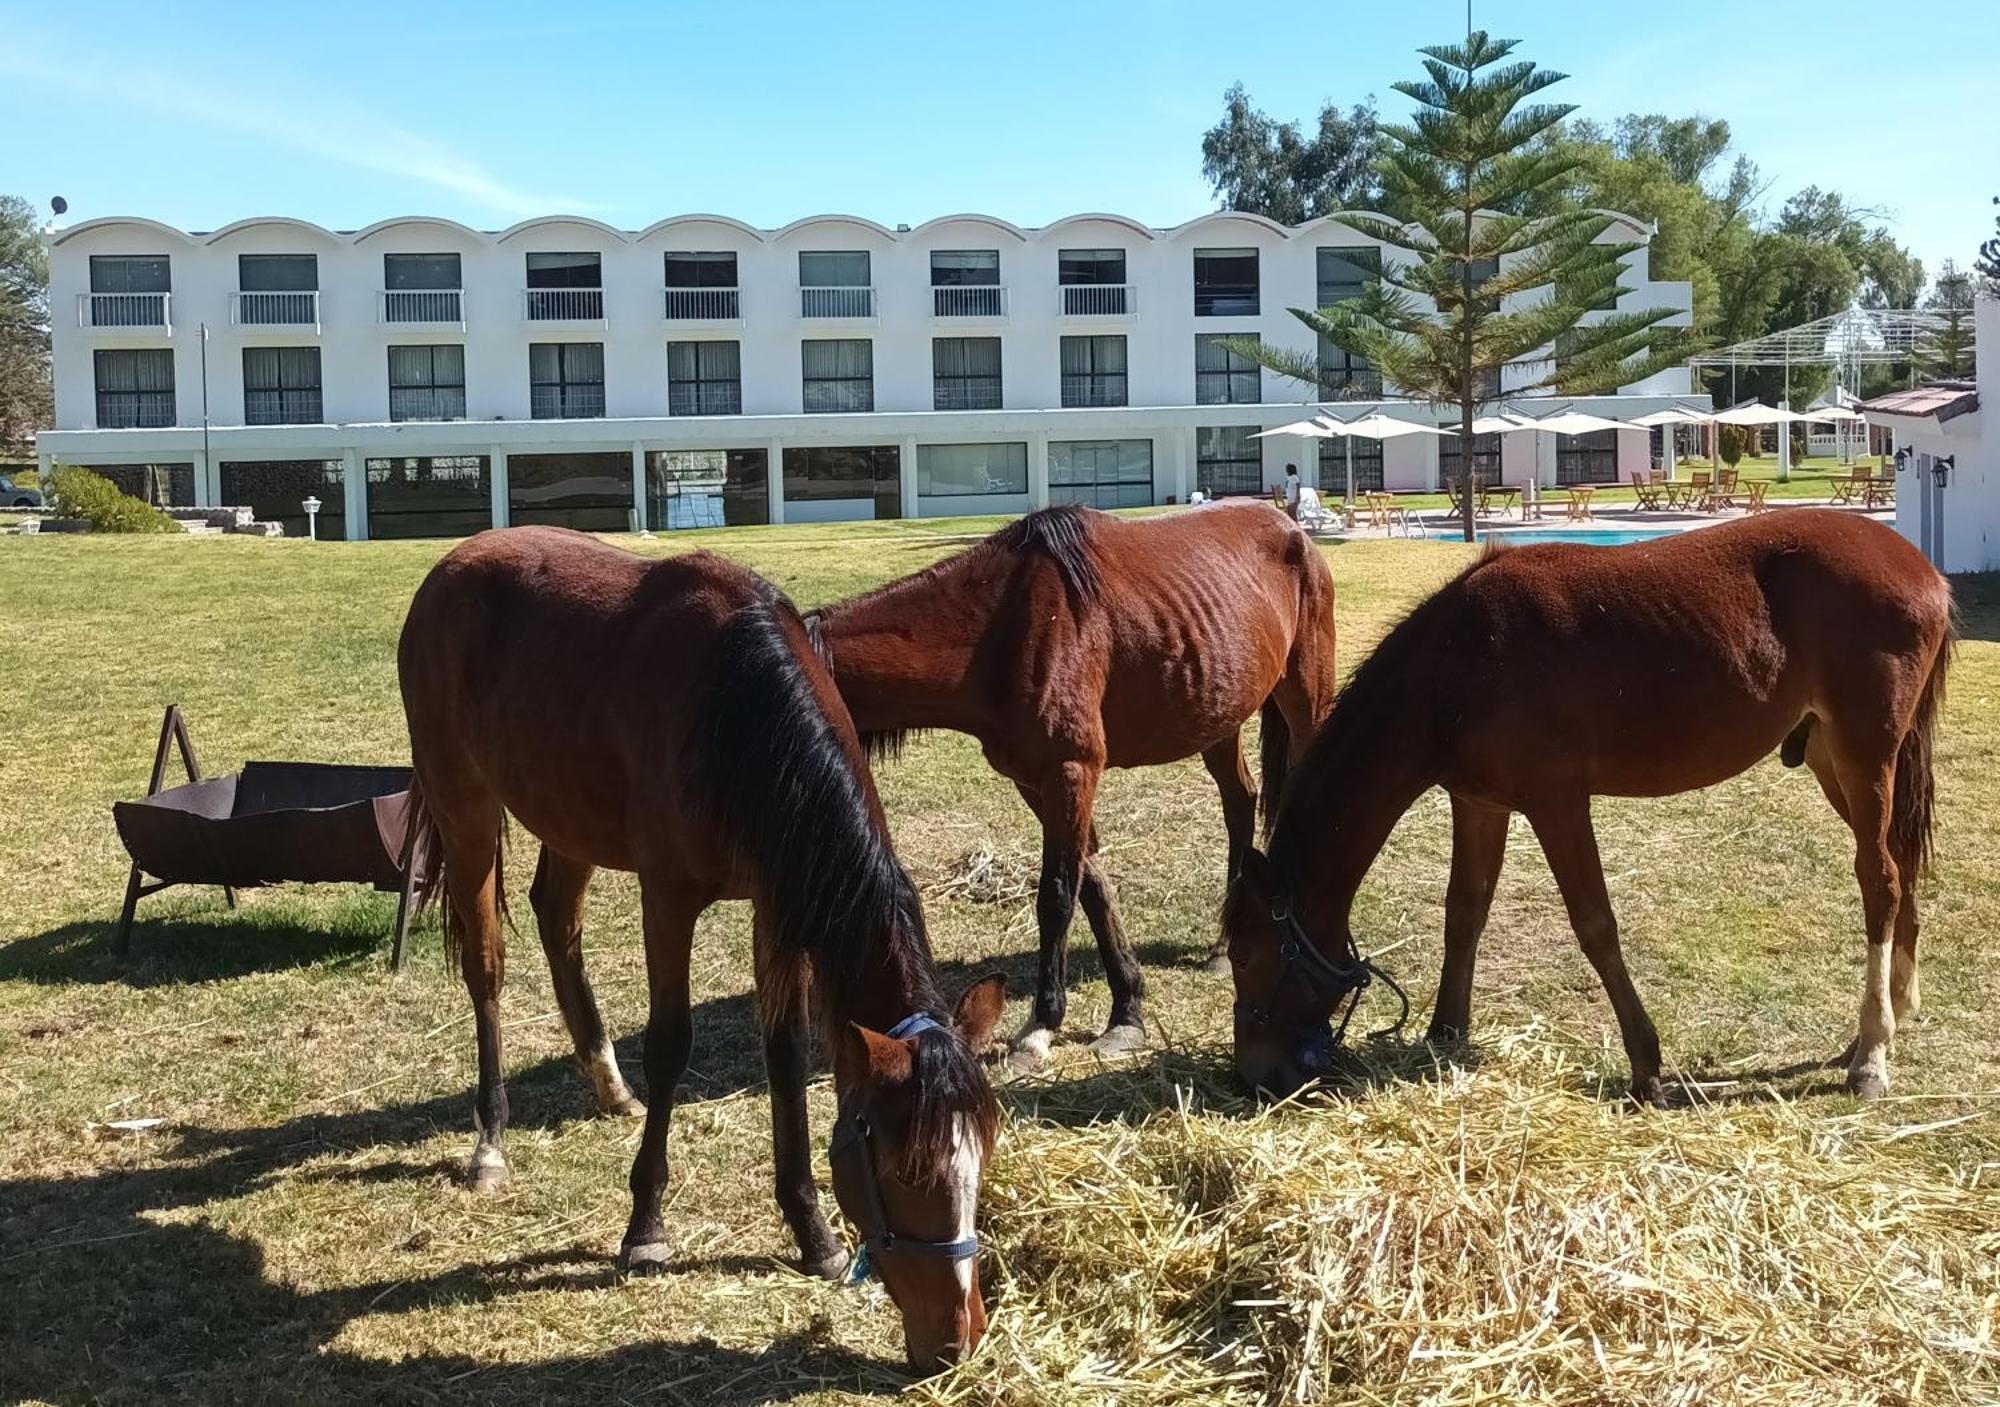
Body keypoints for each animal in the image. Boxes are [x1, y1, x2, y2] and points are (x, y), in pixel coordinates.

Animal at [400, 527, 1008, 1375]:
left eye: (981, 1156)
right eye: (906, 1168)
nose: (958, 1338)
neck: (735, 705)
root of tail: (452, 562)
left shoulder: (778, 903)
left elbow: (784, 1054)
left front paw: (811, 1230)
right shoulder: (669, 897)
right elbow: (671, 1044)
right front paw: (646, 1226)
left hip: (567, 815)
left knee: (556, 917)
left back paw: (606, 1082)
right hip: (465, 805)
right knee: (486, 965)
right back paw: (491, 1140)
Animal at [804, 505, 1336, 1063]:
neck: (999, 628)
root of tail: (1289, 525)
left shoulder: (1071, 770)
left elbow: (1058, 895)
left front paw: (1041, 1025)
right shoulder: (1036, 781)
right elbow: (1093, 886)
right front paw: (1127, 1011)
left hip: (1305, 693)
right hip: (1218, 717)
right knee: (1239, 801)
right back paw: (1222, 947)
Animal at [1216, 511, 1952, 1103]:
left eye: (1247, 959)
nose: (1254, 1075)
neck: (1456, 664)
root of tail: (1919, 567)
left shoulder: (1558, 802)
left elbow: (1594, 924)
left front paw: (1646, 1062)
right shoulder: (1479, 802)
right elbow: (1465, 912)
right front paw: (1444, 1031)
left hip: (1863, 754)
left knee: (1881, 881)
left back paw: (1872, 1053)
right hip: (1835, 759)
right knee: (1899, 863)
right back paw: (1887, 1017)